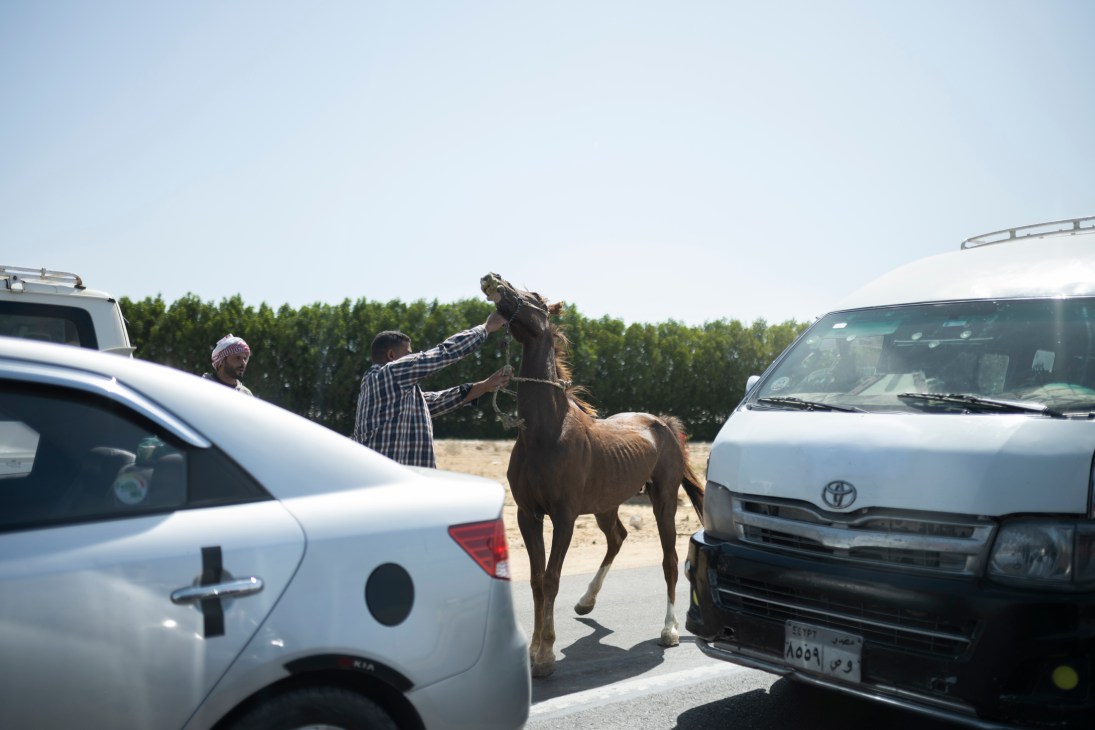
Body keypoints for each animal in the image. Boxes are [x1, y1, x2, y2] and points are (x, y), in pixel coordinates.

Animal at [480, 272, 705, 678]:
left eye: (534, 295)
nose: (493, 279)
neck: (544, 432)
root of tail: (664, 423)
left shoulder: (564, 516)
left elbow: (551, 579)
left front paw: (545, 654)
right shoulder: (528, 514)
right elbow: (536, 581)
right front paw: (535, 650)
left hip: (663, 500)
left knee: (669, 560)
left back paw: (669, 630)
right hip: (606, 505)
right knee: (618, 538)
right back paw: (586, 601)